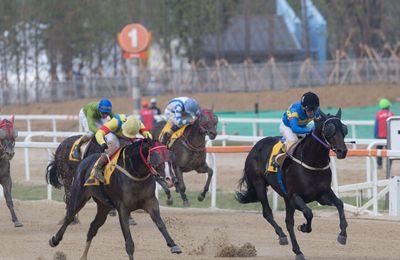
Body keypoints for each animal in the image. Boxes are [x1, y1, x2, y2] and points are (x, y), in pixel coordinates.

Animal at [48, 138, 181, 260]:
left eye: (170, 158)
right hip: (78, 195)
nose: (170, 179)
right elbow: (129, 242)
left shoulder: (151, 202)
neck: (135, 173)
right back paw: (55, 239)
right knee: (69, 217)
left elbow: (160, 224)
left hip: (103, 206)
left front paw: (173, 245)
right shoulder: (123, 208)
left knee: (93, 227)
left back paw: (83, 256)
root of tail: (85, 160)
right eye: (156, 158)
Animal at [236, 109, 348, 260]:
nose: (343, 151)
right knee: (268, 213)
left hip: (284, 197)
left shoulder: (322, 195)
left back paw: (298, 251)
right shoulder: (293, 195)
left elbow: (340, 204)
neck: (312, 162)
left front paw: (342, 235)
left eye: (344, 129)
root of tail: (256, 146)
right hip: (259, 185)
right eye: (330, 129)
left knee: (288, 222)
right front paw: (304, 227)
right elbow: (308, 212)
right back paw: (283, 236)